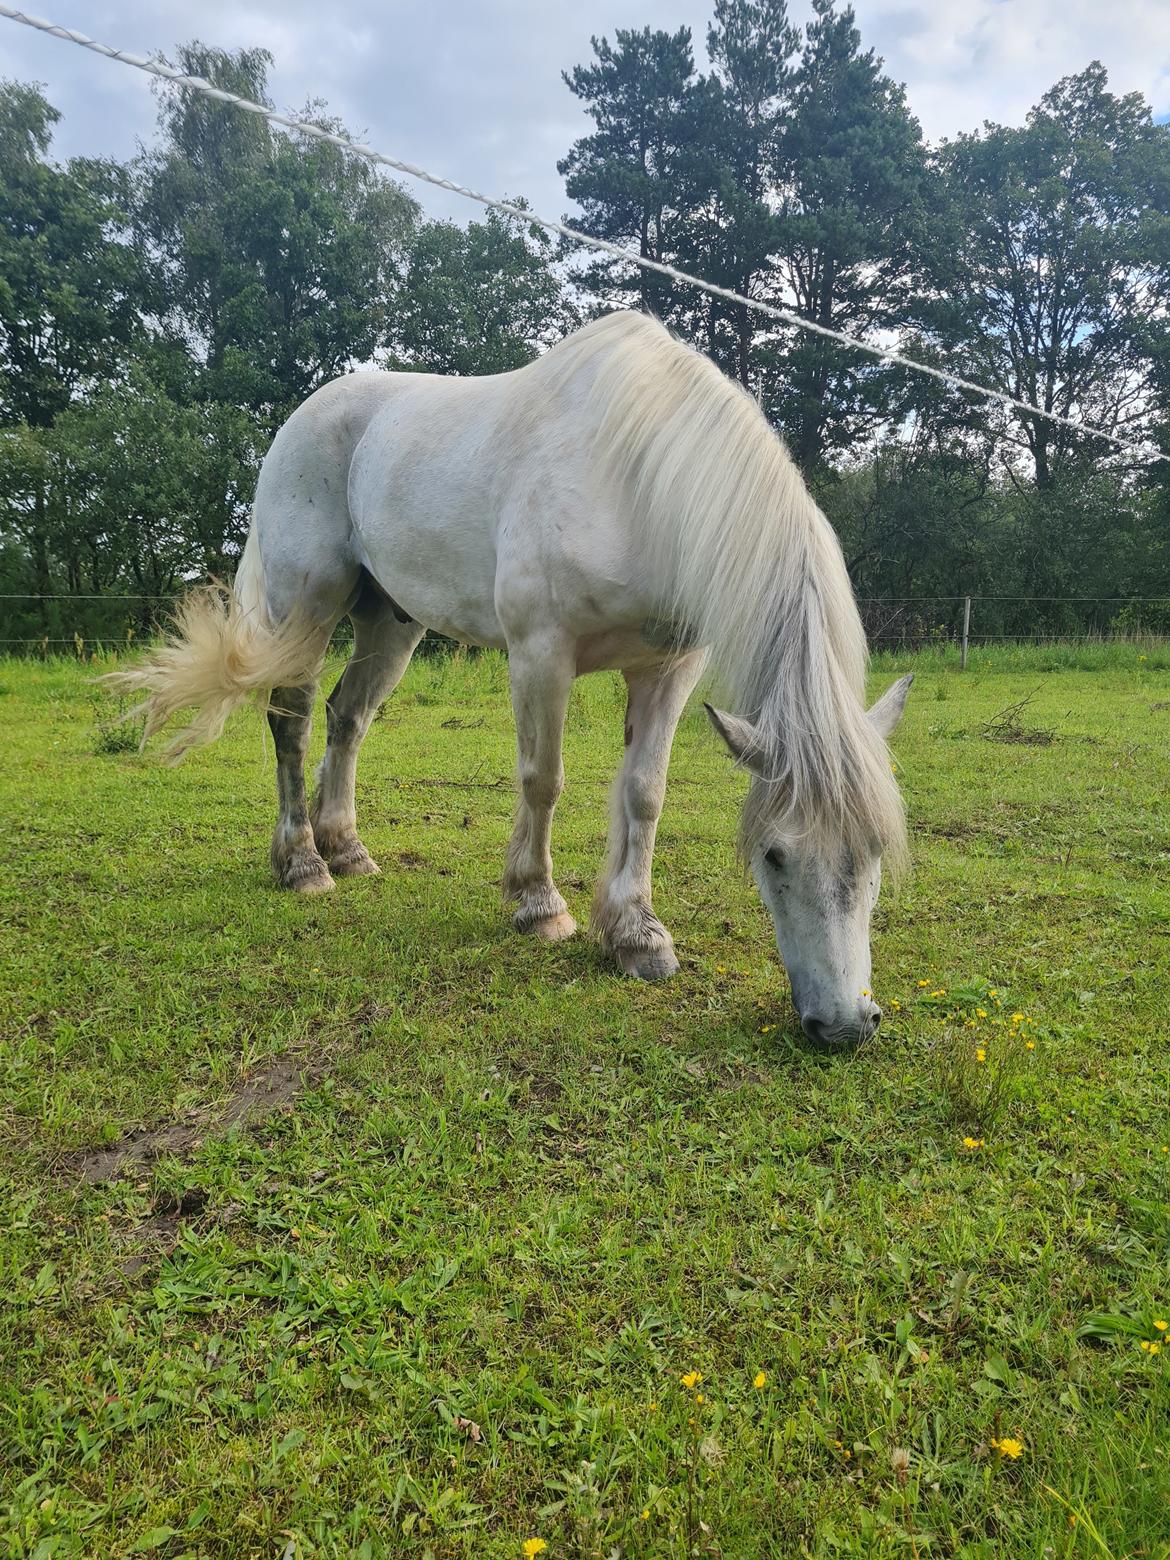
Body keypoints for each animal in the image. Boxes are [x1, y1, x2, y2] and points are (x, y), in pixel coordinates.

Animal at [112, 310, 917, 1048]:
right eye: (774, 854)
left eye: (878, 851)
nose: (846, 1025)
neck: (634, 481)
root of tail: (300, 420)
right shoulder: (540, 653)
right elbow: (543, 779)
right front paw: (539, 904)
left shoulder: (668, 669)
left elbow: (645, 793)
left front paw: (637, 934)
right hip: (303, 604)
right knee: (294, 717)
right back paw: (303, 862)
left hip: (391, 623)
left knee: (349, 718)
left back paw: (347, 848)